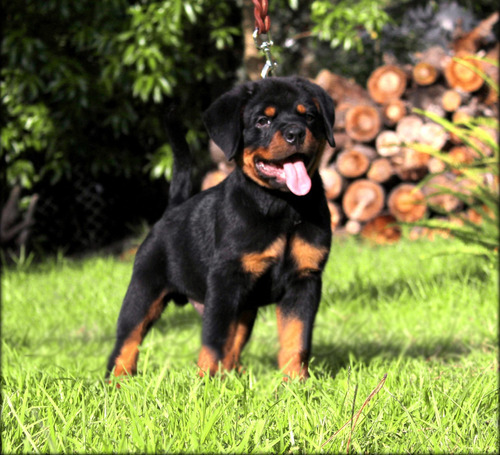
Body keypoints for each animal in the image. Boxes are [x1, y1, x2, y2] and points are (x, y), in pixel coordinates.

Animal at [105, 75, 334, 382]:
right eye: (263, 121)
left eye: (309, 116)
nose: (295, 133)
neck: (283, 206)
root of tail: (172, 210)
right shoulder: (226, 280)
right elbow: (214, 339)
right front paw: (206, 383)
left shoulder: (304, 279)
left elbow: (296, 338)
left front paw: (295, 382)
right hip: (144, 289)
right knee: (127, 340)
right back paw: (117, 381)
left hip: (245, 306)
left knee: (235, 342)